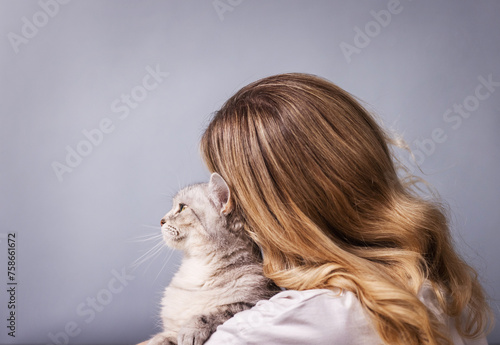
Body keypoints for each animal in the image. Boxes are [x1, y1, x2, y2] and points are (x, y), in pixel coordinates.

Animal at [148, 172, 282, 344]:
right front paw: (161, 339)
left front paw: (190, 330)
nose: (161, 221)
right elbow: (167, 334)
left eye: (182, 207)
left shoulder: (255, 302)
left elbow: (214, 313)